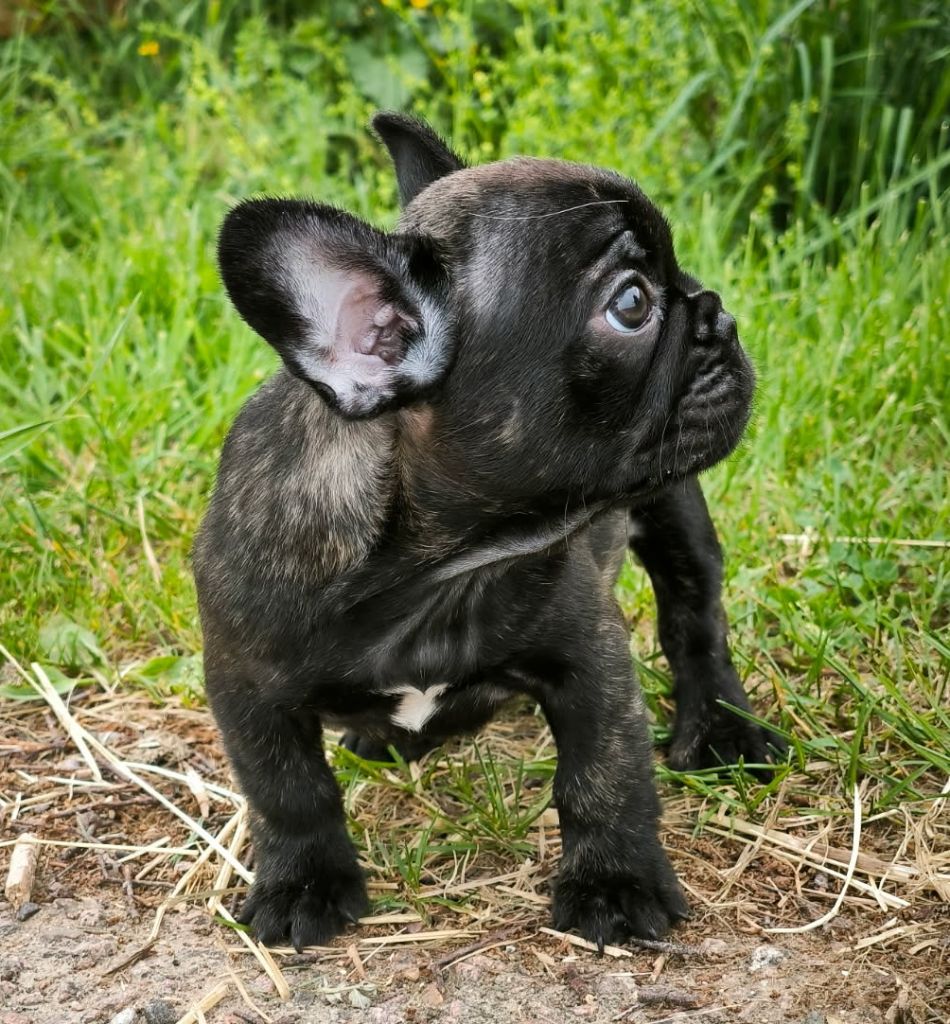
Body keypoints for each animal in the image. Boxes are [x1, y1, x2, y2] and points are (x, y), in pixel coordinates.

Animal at [193, 112, 781, 953]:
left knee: (694, 614)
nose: (718, 310)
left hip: (675, 510)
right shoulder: (247, 686)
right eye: (632, 304)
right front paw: (304, 883)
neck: (432, 569)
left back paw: (726, 727)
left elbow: (605, 775)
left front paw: (615, 885)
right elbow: (289, 791)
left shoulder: (590, 656)